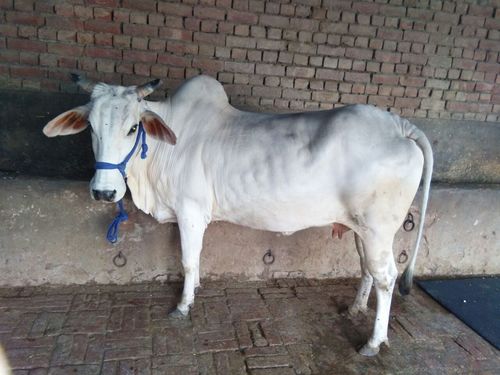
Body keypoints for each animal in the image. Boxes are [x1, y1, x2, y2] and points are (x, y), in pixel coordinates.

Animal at [44, 75, 434, 356]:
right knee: (368, 269)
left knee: (387, 277)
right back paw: (355, 309)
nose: (104, 191)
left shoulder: (190, 210)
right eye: (92, 128)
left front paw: (183, 305)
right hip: (362, 229)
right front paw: (195, 290)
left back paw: (373, 342)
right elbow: (197, 260)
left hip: (378, 229)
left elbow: (188, 260)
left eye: (132, 127)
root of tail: (399, 125)